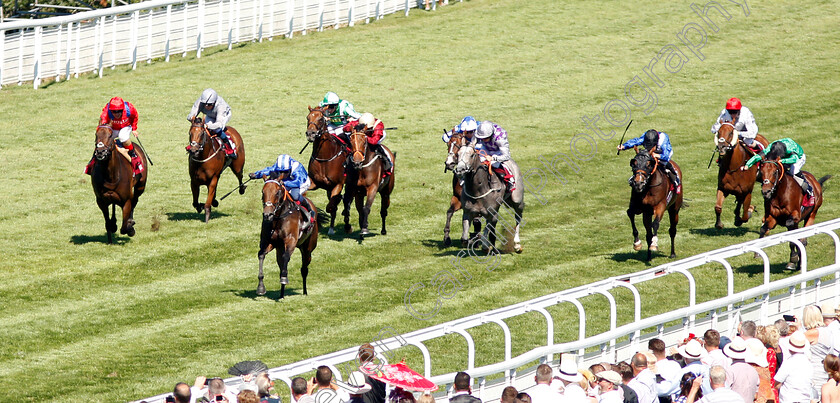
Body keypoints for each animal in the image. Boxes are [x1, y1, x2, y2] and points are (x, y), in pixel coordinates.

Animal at [306, 105, 350, 235]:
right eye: (308, 118)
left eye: (321, 119)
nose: (310, 133)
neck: (325, 157)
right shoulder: (314, 183)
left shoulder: (338, 184)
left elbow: (331, 206)